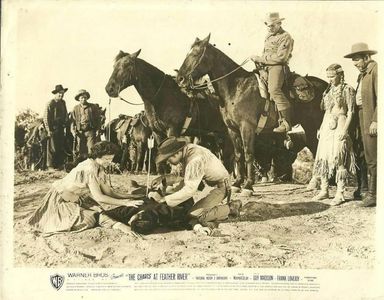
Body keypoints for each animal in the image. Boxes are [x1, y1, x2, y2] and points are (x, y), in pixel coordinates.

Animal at [103, 49, 232, 171]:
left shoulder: (172, 130)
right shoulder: (157, 133)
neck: (163, 97)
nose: (110, 88)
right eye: (115, 66)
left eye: (127, 65)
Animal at [177, 34, 328, 191]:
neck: (236, 88)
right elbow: (238, 155)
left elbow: (248, 154)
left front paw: (248, 184)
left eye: (195, 54)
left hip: (314, 125)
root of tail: (325, 85)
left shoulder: (247, 127)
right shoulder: (232, 129)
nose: (180, 78)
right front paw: (238, 183)